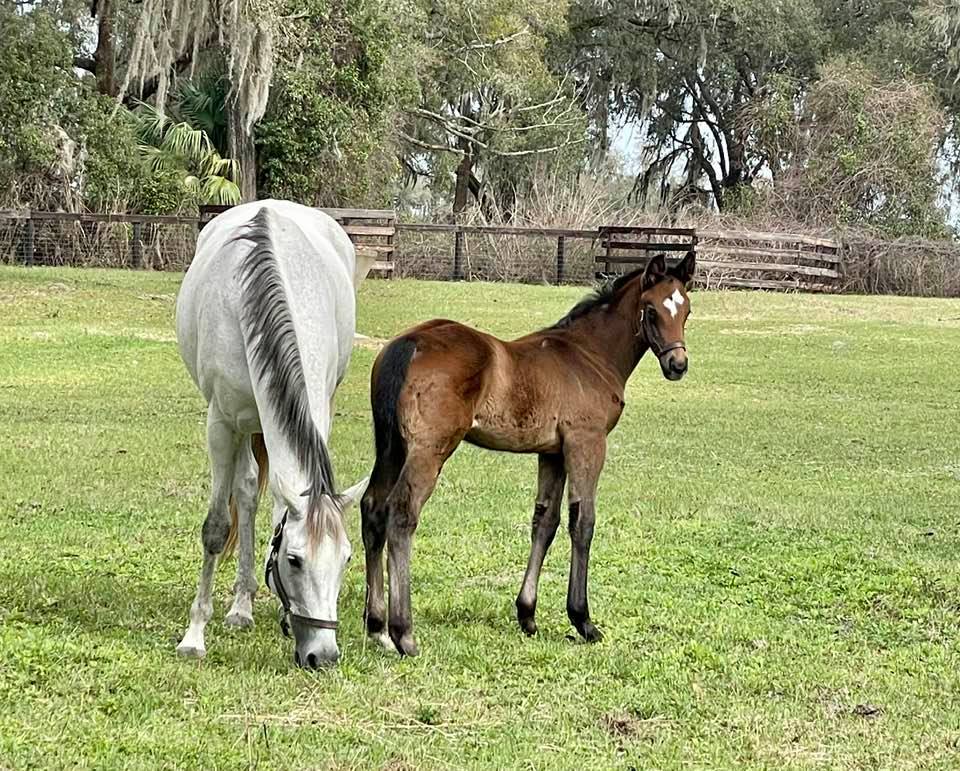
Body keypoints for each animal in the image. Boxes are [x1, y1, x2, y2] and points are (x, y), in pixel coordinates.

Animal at [174, 200, 371, 668]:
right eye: (294, 560)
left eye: (346, 558)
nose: (323, 655)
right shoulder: (221, 424)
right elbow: (216, 527)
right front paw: (194, 635)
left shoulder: (319, 414)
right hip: (244, 426)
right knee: (245, 491)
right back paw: (239, 608)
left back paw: (242, 604)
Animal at [361, 251, 696, 656]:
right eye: (650, 310)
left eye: (686, 309)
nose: (677, 365)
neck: (590, 355)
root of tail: (408, 343)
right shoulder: (586, 442)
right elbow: (583, 522)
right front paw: (583, 621)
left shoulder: (552, 452)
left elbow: (545, 522)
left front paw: (527, 615)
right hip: (429, 450)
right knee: (401, 514)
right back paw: (403, 633)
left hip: (391, 446)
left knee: (373, 508)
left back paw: (376, 627)